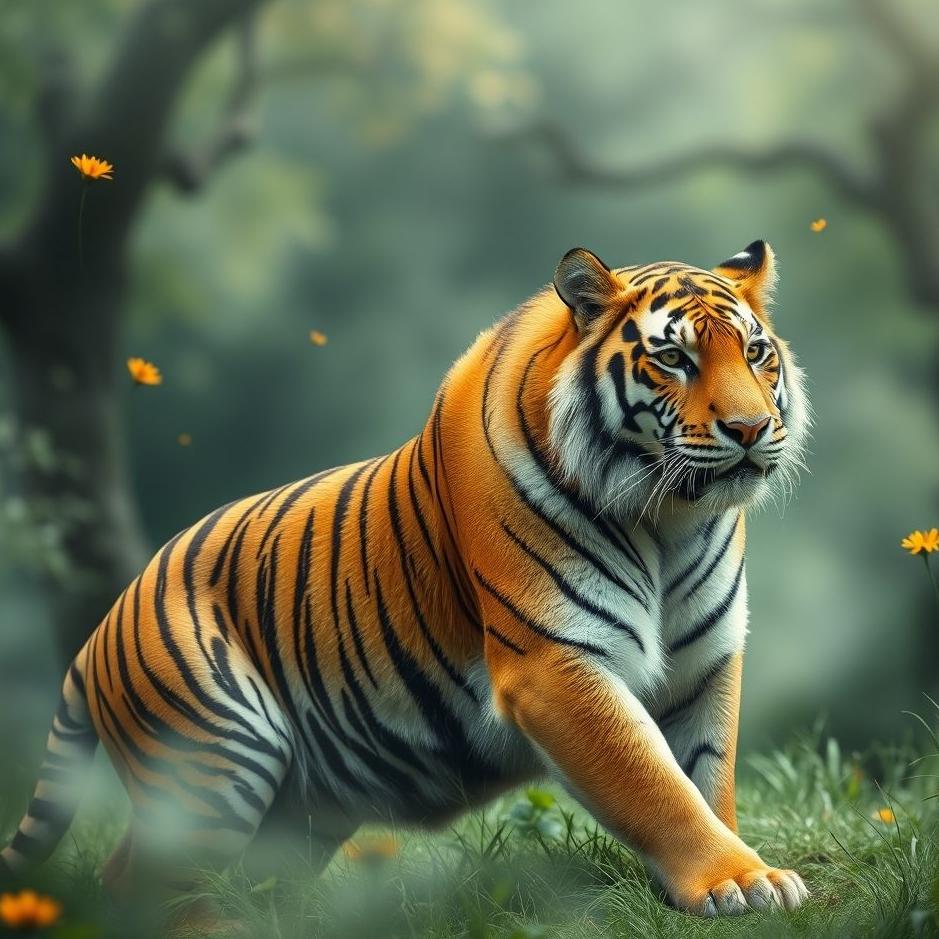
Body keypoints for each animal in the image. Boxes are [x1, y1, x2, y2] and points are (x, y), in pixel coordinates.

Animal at [1, 240, 810, 920]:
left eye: (756, 352)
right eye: (672, 358)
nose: (748, 429)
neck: (669, 519)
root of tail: (101, 629)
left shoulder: (704, 662)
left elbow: (705, 778)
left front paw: (735, 877)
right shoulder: (553, 663)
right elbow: (652, 783)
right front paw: (737, 880)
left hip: (289, 811)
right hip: (211, 761)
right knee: (155, 888)